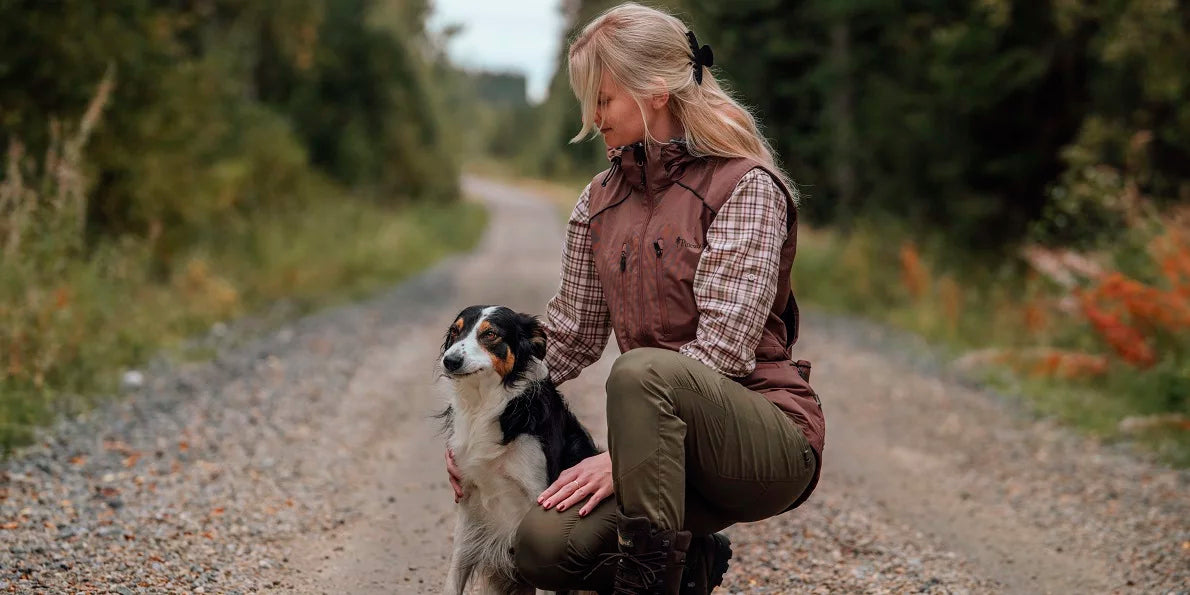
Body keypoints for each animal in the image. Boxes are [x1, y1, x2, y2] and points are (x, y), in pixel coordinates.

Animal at [437, 307, 599, 595]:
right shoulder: (468, 497)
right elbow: (455, 572)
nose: (450, 360)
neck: (484, 406)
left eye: (490, 334)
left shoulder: (540, 496)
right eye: (455, 332)